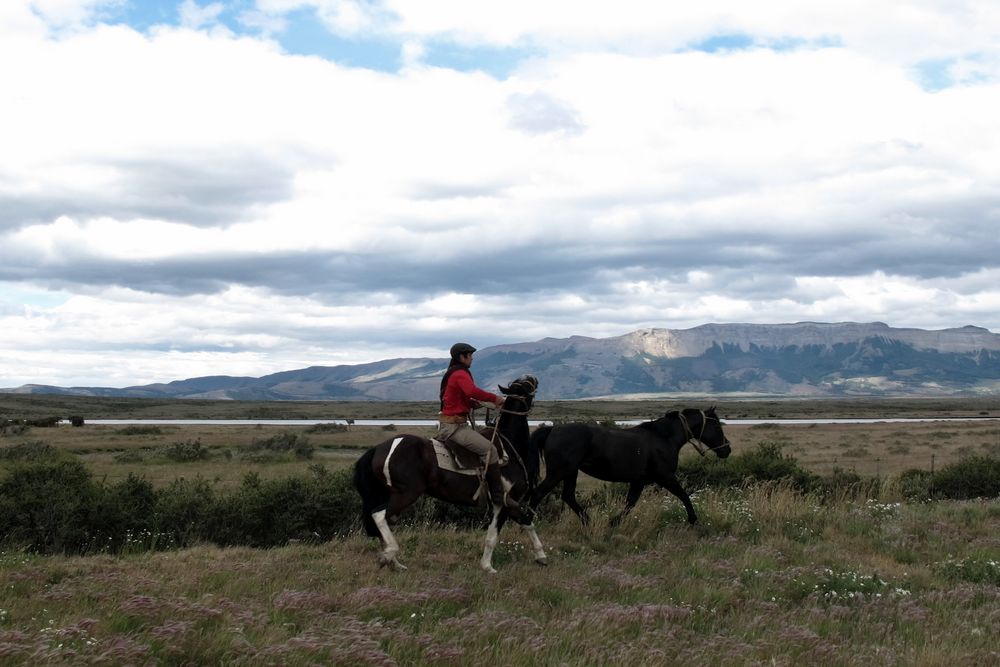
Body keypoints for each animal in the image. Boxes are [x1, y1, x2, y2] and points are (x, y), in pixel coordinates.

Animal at [354, 376, 548, 576]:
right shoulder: (504, 501)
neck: (509, 447)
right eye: (524, 386)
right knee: (379, 515)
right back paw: (388, 555)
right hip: (406, 494)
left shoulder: (506, 503)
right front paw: (490, 566)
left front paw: (538, 557)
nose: (533, 378)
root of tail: (379, 449)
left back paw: (395, 563)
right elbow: (503, 531)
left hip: (388, 493)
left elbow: (523, 523)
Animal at [532, 408, 736, 528]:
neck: (664, 438)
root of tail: (552, 430)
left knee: (568, 496)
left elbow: (630, 503)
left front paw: (613, 522)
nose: (727, 449)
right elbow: (684, 495)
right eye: (716, 425)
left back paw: (587, 521)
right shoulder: (665, 477)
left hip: (570, 472)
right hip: (558, 472)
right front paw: (693, 519)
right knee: (537, 494)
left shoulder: (638, 481)